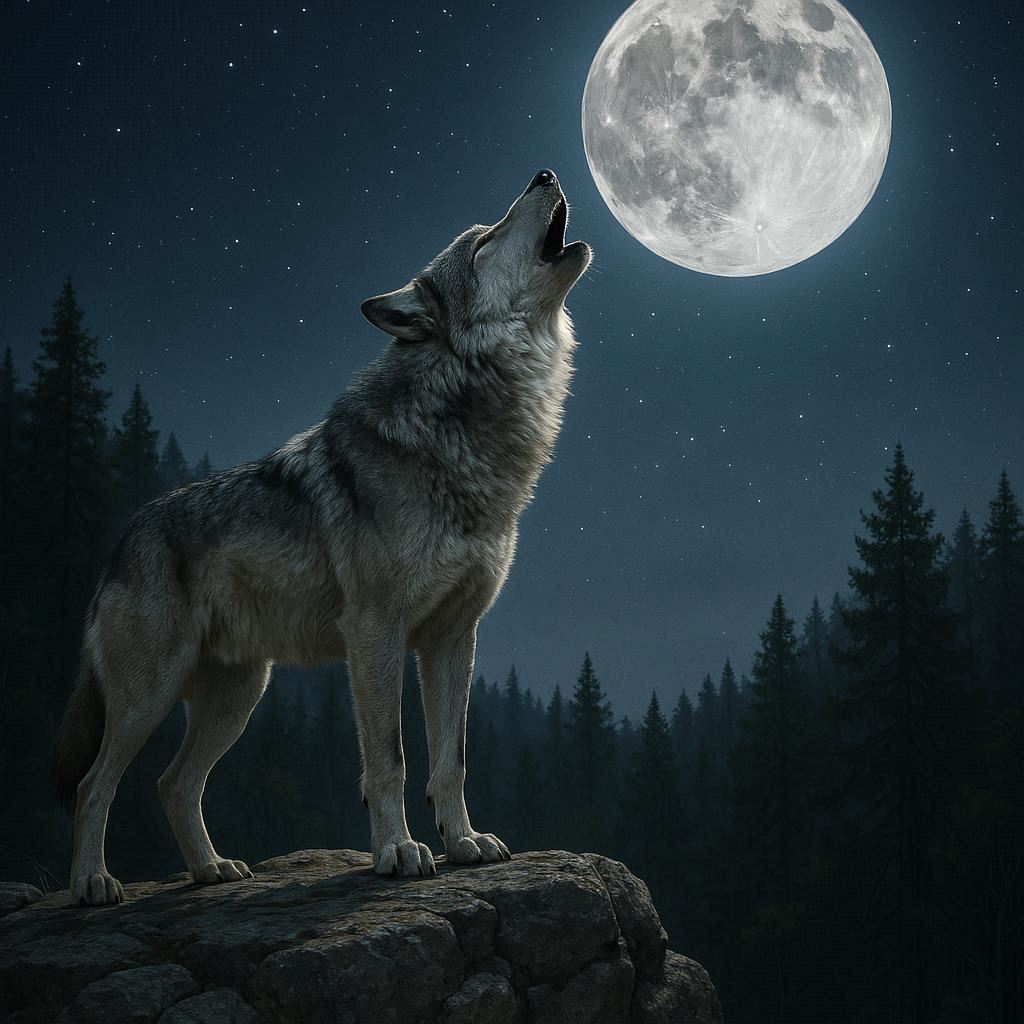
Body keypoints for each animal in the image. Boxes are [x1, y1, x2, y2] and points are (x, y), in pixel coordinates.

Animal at [53, 169, 591, 905]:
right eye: (482, 243)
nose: (546, 174)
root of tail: (120, 541)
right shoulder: (375, 632)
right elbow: (389, 758)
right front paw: (398, 851)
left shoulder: (453, 638)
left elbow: (451, 759)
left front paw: (463, 844)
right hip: (149, 697)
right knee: (91, 784)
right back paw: (93, 883)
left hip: (238, 698)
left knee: (172, 783)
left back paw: (211, 870)